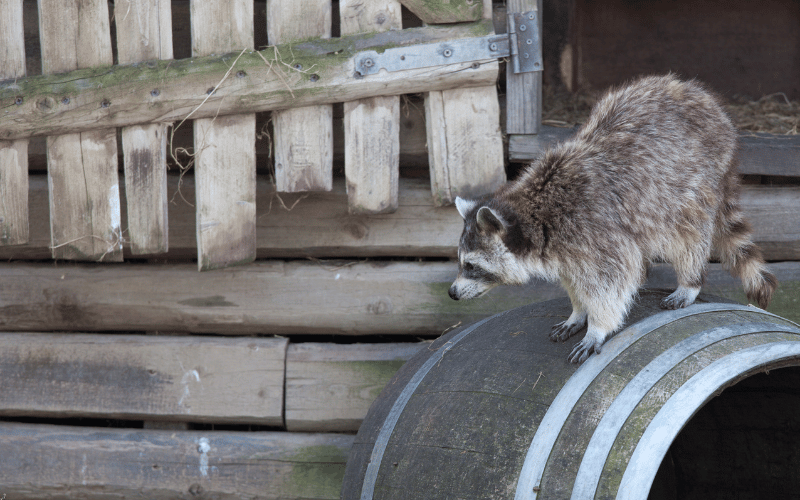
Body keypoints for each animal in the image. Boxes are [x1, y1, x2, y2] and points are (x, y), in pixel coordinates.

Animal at [450, 74, 776, 364]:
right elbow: (576, 279)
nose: (452, 293)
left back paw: (690, 280)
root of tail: (707, 102)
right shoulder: (566, 248)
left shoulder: (595, 230)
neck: (536, 213)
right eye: (461, 262)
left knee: (688, 235)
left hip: (693, 184)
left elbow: (611, 281)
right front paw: (578, 311)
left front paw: (597, 327)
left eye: (472, 266)